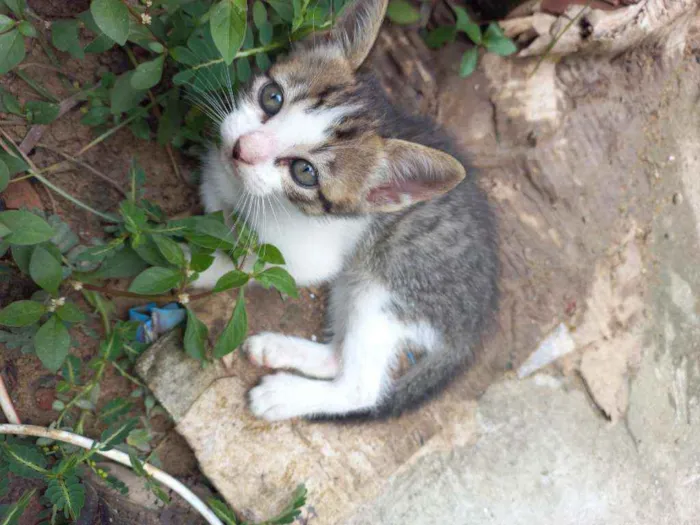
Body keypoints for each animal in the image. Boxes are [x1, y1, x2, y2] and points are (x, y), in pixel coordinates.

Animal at [194, 0, 500, 420]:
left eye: (304, 172)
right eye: (272, 97)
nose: (242, 149)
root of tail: (475, 323)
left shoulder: (304, 258)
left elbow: (244, 267)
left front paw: (195, 267)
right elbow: (215, 212)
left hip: (388, 290)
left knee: (361, 388)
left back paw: (283, 395)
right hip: (352, 282)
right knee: (339, 356)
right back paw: (279, 349)